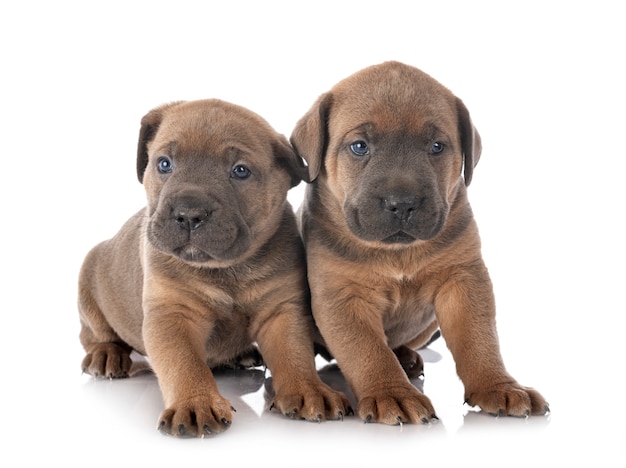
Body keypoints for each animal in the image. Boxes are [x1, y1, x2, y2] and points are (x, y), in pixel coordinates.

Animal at [77, 99, 348, 438]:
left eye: (240, 171)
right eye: (164, 164)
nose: (189, 214)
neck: (226, 269)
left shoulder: (281, 311)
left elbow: (294, 353)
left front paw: (309, 389)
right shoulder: (172, 315)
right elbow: (185, 362)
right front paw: (196, 402)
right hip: (89, 280)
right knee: (94, 333)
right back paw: (106, 354)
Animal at [288, 61, 544, 424]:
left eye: (436, 146)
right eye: (359, 146)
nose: (402, 203)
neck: (397, 252)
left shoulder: (464, 280)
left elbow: (479, 339)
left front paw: (499, 386)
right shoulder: (342, 296)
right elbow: (369, 351)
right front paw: (392, 394)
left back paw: (406, 357)